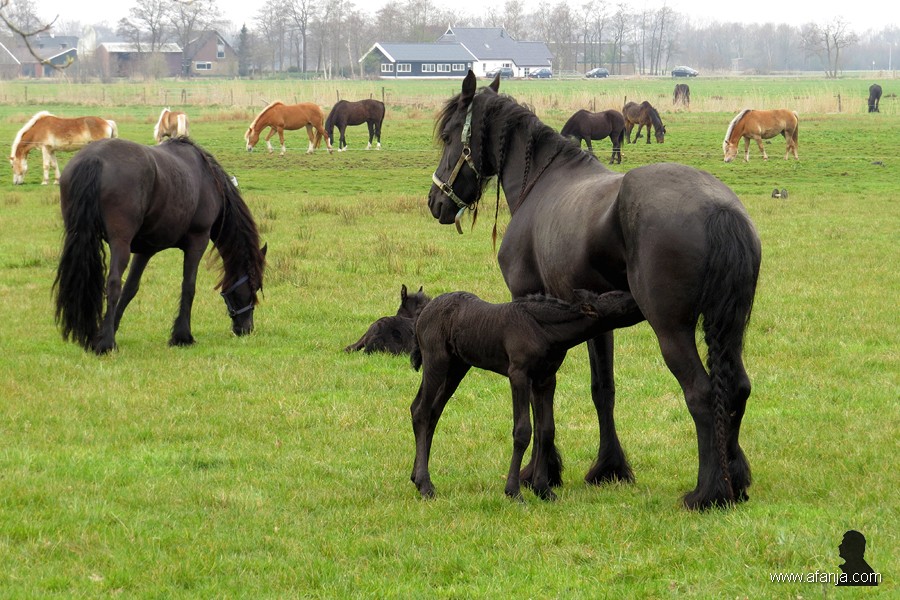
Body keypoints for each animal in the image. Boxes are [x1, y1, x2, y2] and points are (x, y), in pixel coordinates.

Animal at [53, 137, 267, 355]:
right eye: (255, 287)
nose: (247, 329)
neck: (208, 178)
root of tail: (94, 158)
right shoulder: (197, 241)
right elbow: (188, 286)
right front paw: (182, 336)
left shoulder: (145, 250)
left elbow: (131, 289)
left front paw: (108, 329)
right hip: (120, 243)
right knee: (113, 283)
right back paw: (107, 344)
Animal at [410, 289, 641, 502]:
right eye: (620, 301)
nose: (639, 300)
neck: (543, 329)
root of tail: (423, 312)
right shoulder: (519, 375)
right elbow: (522, 431)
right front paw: (514, 491)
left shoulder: (545, 379)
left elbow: (546, 430)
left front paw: (543, 490)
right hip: (437, 361)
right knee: (421, 411)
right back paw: (425, 485)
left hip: (457, 367)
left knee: (432, 411)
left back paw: (417, 478)